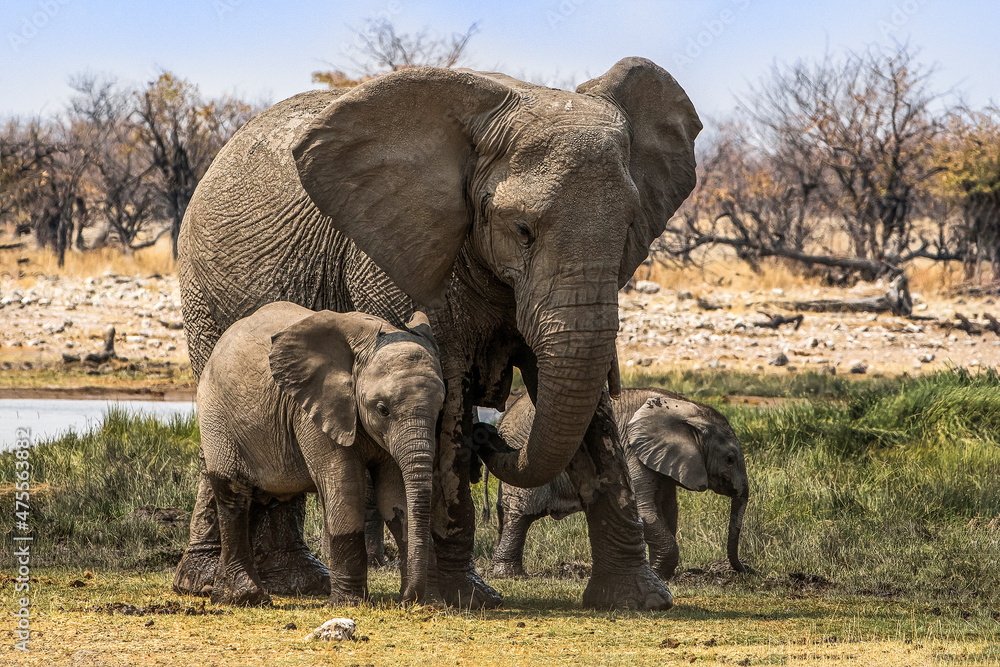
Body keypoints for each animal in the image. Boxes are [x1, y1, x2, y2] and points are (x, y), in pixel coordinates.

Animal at [195, 303, 444, 606]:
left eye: (440, 408)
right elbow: (344, 483)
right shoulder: (312, 410)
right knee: (233, 491)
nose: (405, 599)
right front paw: (349, 604)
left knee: (259, 497)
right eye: (382, 409)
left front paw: (426, 601)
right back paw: (247, 597)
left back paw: (224, 595)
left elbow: (394, 492)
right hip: (215, 412)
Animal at [489, 388, 748, 580]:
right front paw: (657, 575)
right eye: (729, 459)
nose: (746, 569)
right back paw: (510, 575)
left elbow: (668, 510)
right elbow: (645, 509)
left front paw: (658, 573)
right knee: (520, 515)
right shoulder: (632, 451)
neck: (686, 407)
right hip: (521, 455)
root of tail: (503, 418)